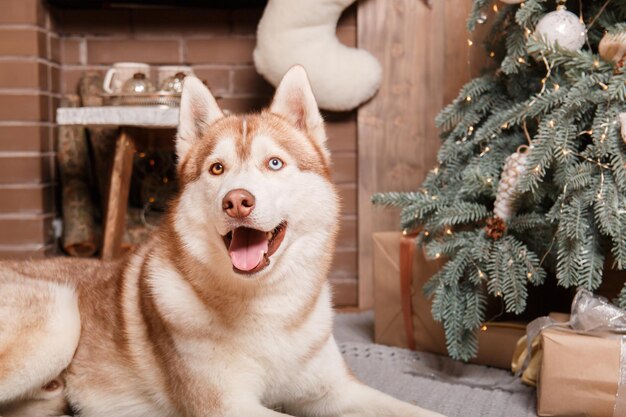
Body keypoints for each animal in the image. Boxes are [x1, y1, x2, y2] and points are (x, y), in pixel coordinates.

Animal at [0, 67, 442, 416]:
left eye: (274, 163)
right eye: (217, 168)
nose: (237, 201)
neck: (266, 306)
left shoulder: (335, 390)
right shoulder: (227, 405)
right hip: (59, 319)